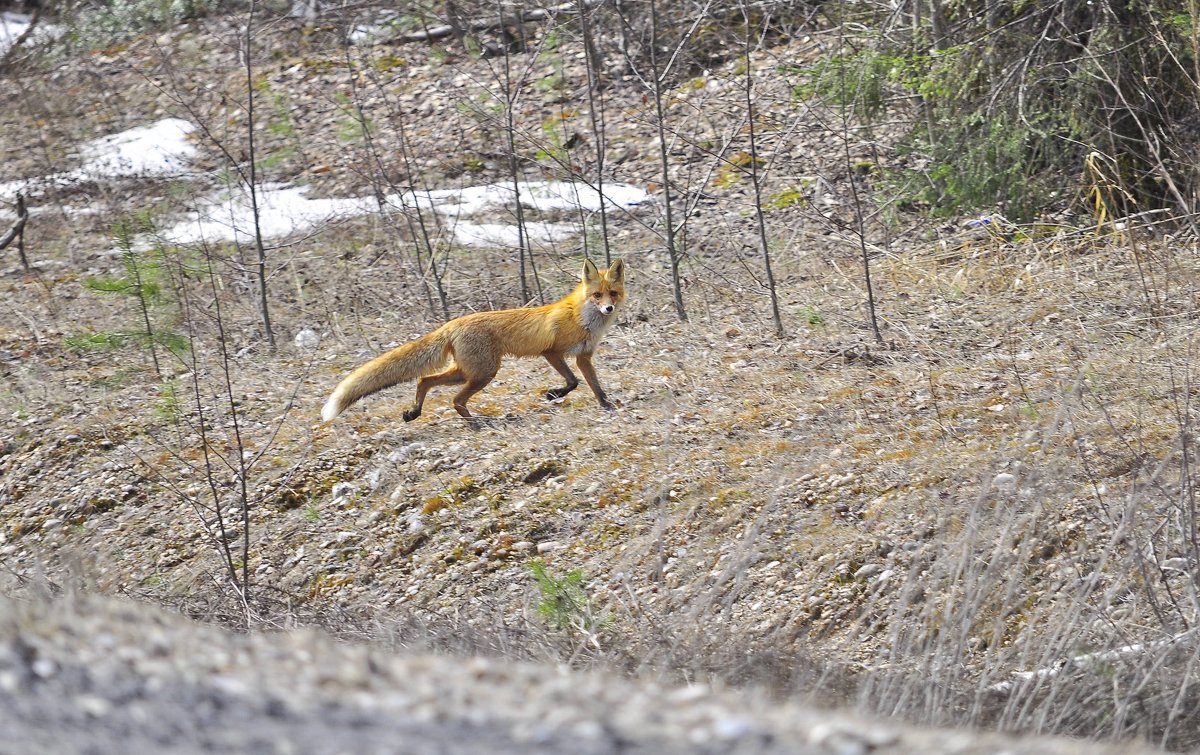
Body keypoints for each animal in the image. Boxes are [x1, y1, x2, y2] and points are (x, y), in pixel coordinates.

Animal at [319, 259, 628, 424]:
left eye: (612, 293)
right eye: (597, 296)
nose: (608, 309)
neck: (581, 319)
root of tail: (452, 323)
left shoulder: (583, 357)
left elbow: (595, 387)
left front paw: (607, 407)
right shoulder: (551, 352)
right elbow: (573, 382)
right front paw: (554, 394)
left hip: (467, 371)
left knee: (424, 380)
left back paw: (416, 412)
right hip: (483, 373)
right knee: (453, 398)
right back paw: (474, 423)